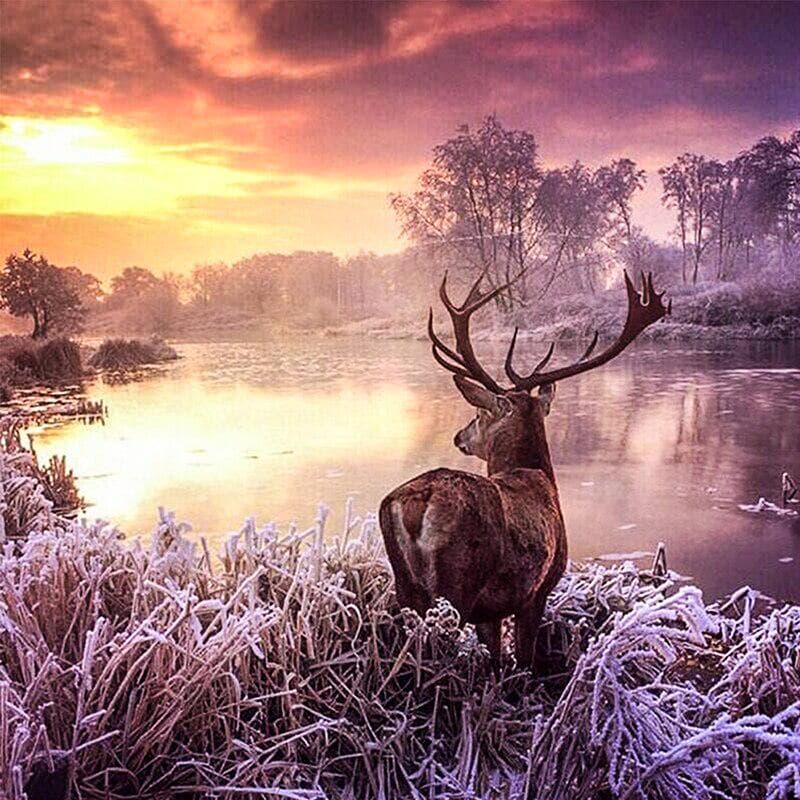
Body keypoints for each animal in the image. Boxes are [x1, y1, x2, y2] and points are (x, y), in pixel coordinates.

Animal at [379, 270, 670, 667]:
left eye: (478, 414)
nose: (459, 436)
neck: (537, 474)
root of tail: (415, 503)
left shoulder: (491, 610)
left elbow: (496, 659)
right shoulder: (538, 590)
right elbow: (526, 661)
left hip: (405, 587)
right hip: (456, 586)